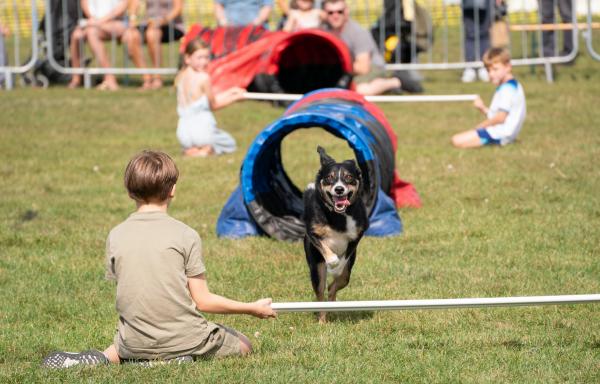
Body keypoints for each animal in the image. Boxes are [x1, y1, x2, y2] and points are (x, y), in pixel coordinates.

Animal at [302, 146, 368, 322]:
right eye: (329, 178)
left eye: (348, 177)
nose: (339, 189)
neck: (339, 216)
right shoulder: (313, 233)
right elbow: (325, 248)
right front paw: (332, 262)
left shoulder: (357, 235)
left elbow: (344, 258)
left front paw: (336, 268)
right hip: (316, 268)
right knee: (320, 294)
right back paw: (322, 320)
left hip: (347, 275)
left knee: (334, 286)